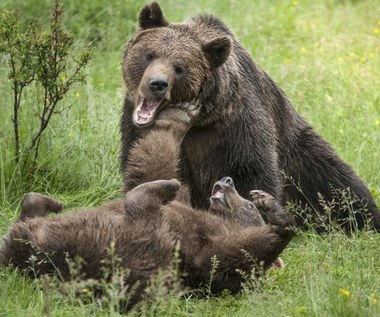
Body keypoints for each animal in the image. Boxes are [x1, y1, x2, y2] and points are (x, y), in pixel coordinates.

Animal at [121, 1, 380, 230]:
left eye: (179, 67)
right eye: (150, 54)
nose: (157, 84)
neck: (201, 120)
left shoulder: (236, 124)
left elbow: (249, 168)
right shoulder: (136, 125)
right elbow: (148, 171)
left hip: (298, 153)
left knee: (335, 184)